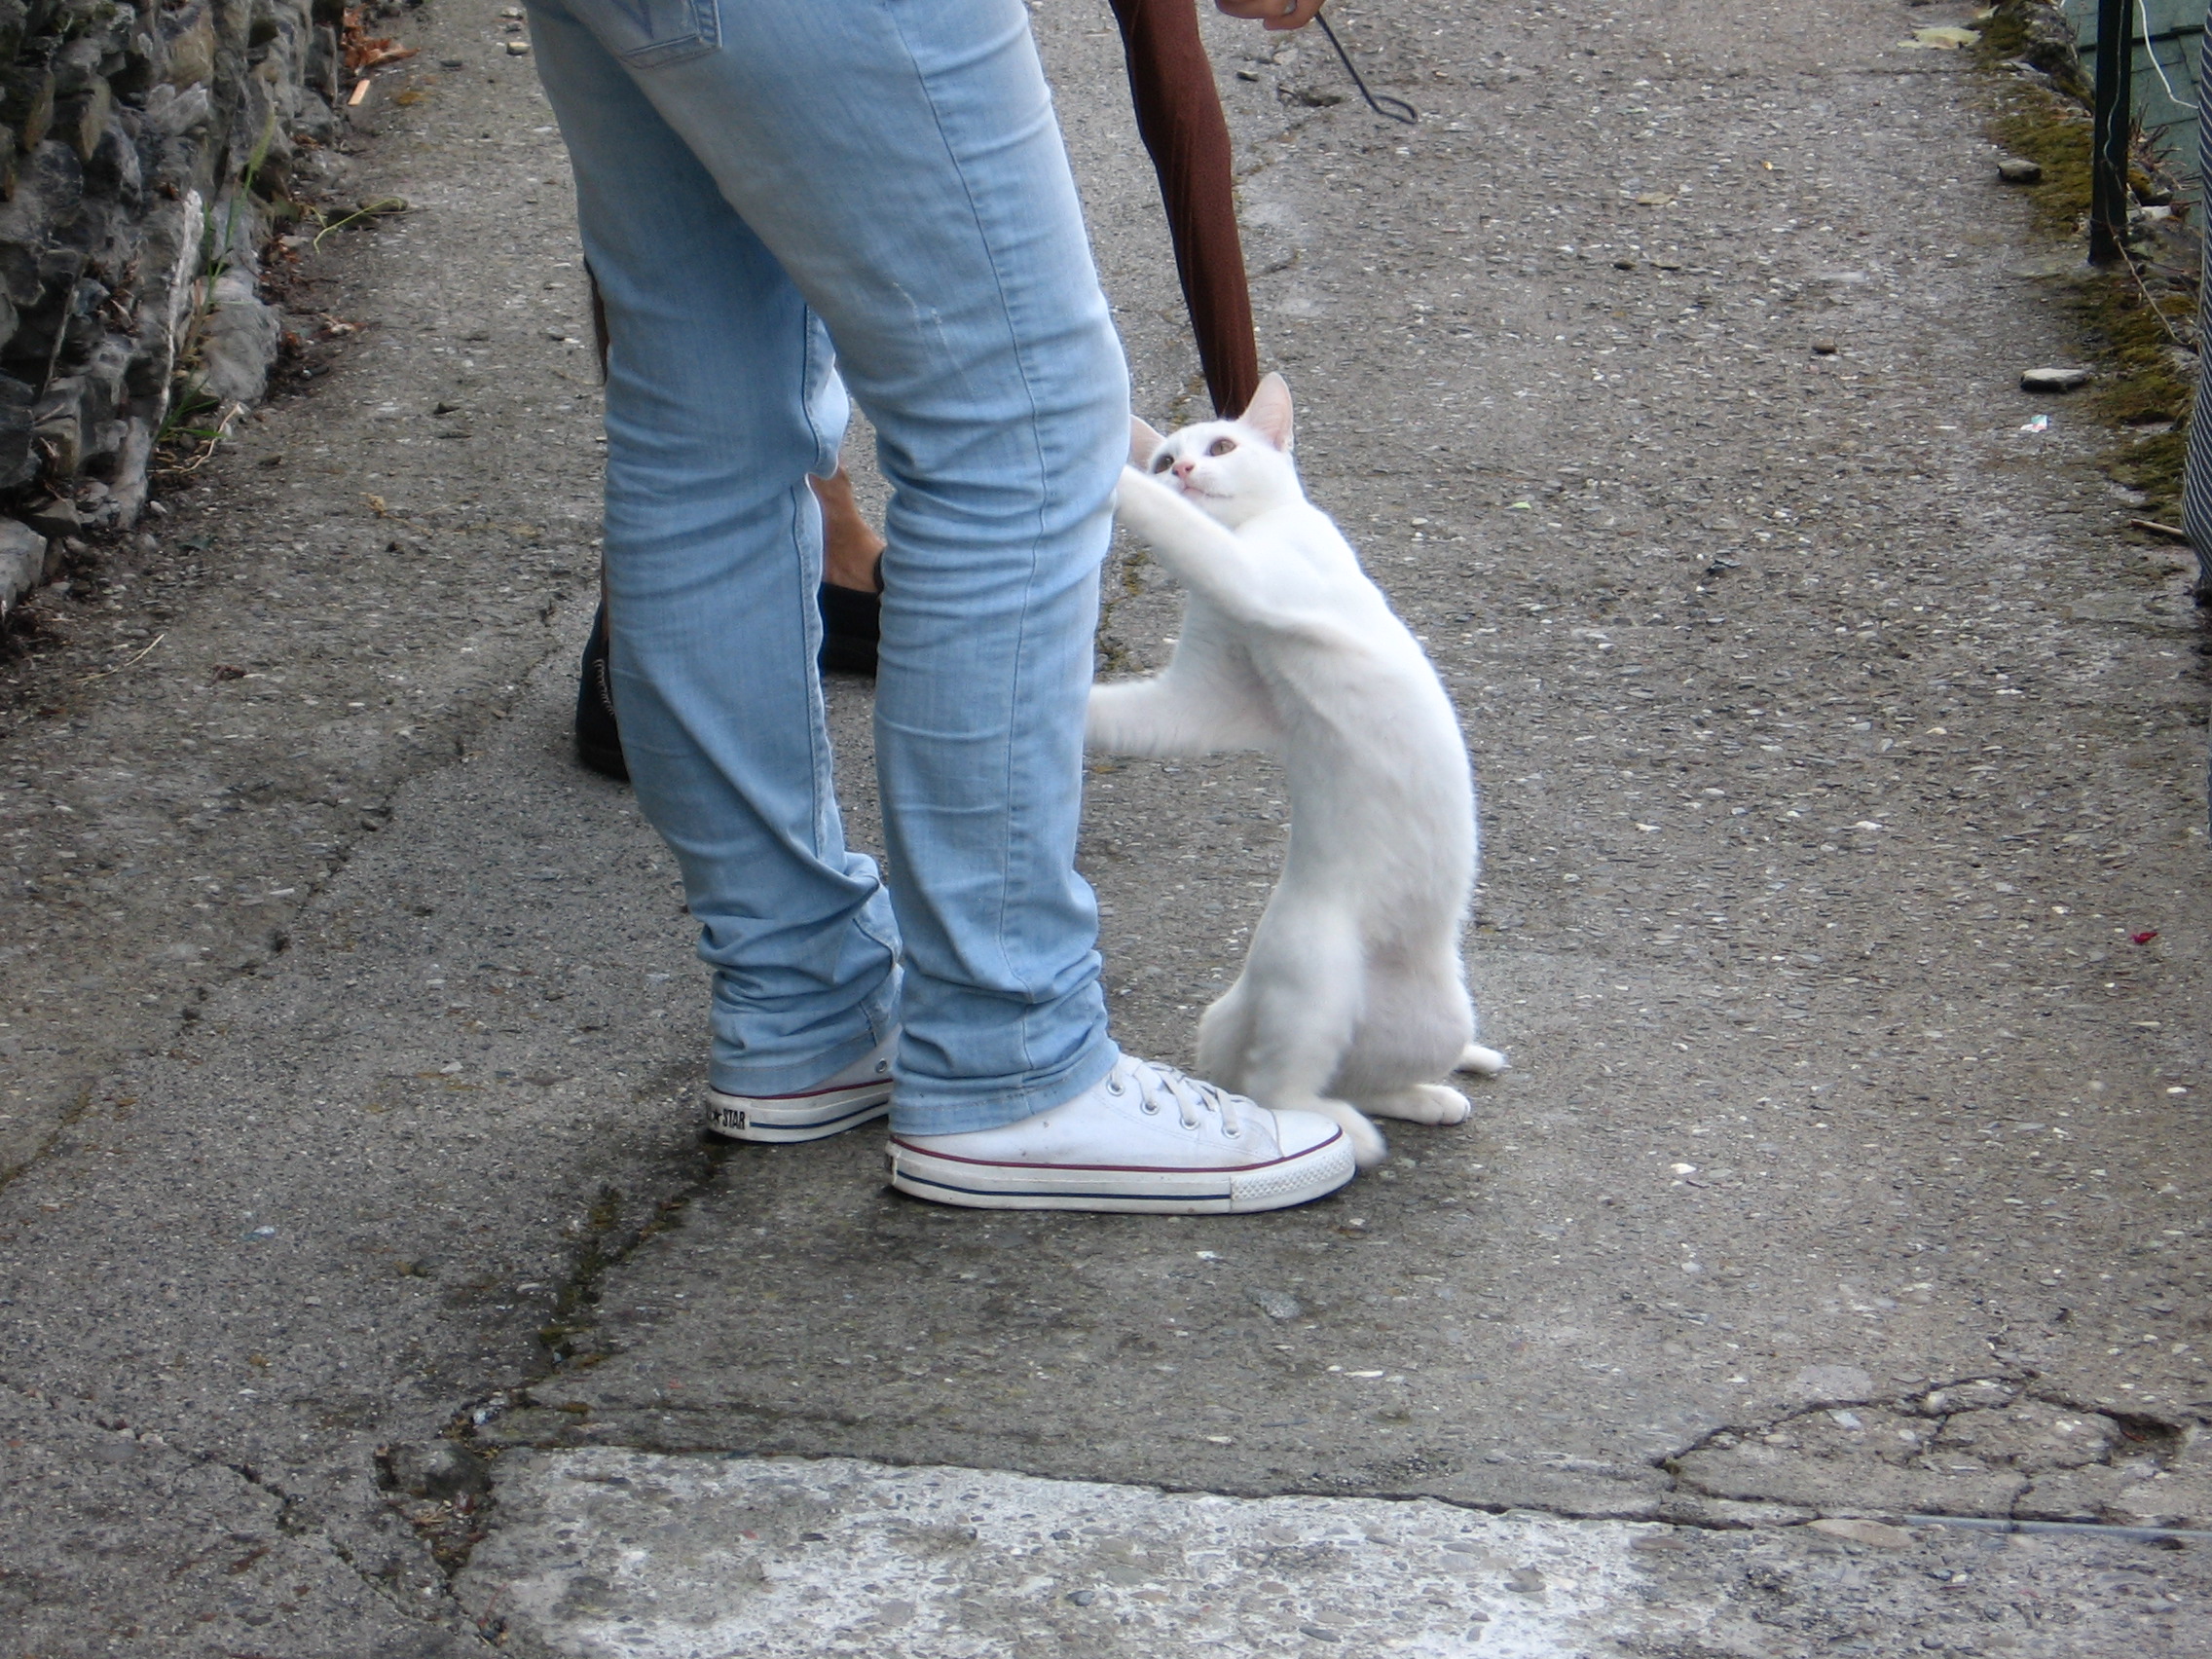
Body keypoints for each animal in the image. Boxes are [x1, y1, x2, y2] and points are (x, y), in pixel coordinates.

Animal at [1087, 373, 1506, 1168]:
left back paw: (1387, 1118)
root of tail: (1246, 996)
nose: (1185, 472)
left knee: (1292, 1087)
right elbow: (1125, 712)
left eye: (1222, 446)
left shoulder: (1257, 585)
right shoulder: (1207, 700)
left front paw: (1107, 477)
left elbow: (1185, 534)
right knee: (1285, 1083)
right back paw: (1395, 1111)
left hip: (1380, 996)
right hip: (1323, 983)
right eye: (1165, 458)